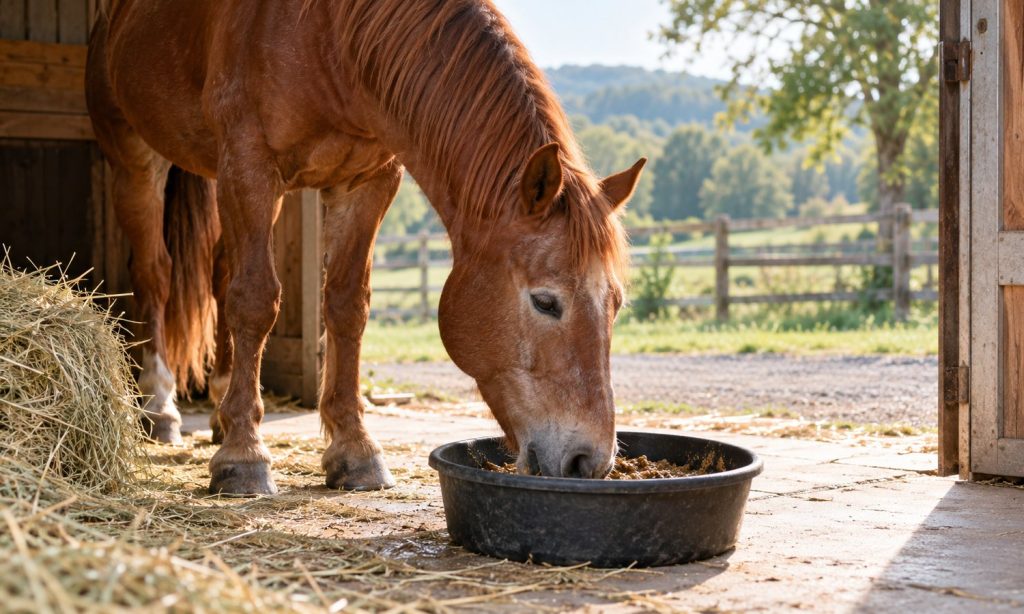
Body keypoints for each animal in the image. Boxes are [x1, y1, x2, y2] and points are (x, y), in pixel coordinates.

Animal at [86, 0, 645, 496]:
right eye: (546, 302)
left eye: (616, 304)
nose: (588, 461)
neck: (328, 35)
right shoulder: (250, 165)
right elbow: (256, 301)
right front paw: (244, 457)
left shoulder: (369, 181)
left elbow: (347, 307)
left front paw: (354, 450)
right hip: (137, 155)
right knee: (156, 274)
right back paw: (159, 407)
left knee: (222, 274)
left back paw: (221, 400)